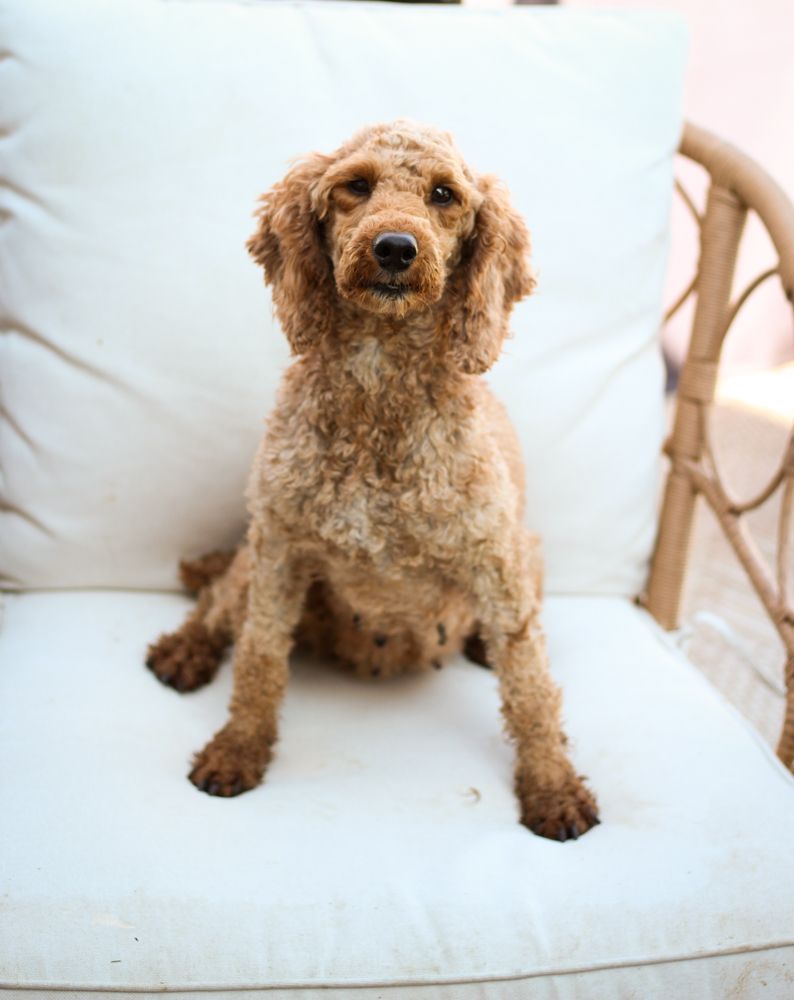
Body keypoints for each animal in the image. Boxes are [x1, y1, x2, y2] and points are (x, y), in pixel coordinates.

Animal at [146, 120, 599, 841]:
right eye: (355, 186)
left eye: (443, 195)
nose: (394, 247)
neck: (380, 385)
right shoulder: (280, 547)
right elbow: (259, 656)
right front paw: (237, 750)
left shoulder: (497, 561)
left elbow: (529, 683)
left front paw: (552, 787)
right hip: (254, 549)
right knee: (218, 596)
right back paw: (184, 651)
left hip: (530, 551)